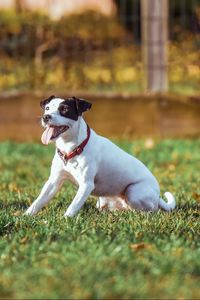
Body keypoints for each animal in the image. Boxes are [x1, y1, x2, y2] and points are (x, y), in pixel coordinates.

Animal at [25, 95, 176, 217]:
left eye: (65, 109)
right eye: (47, 108)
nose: (46, 117)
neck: (72, 148)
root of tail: (157, 196)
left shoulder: (86, 185)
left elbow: (74, 205)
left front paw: (65, 219)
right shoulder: (54, 181)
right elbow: (39, 201)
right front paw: (26, 216)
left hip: (133, 192)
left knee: (150, 209)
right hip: (104, 200)